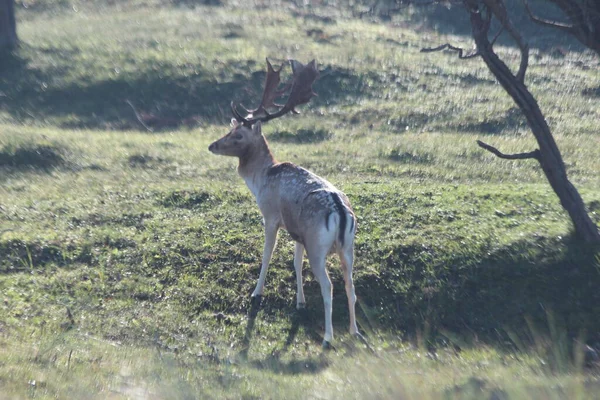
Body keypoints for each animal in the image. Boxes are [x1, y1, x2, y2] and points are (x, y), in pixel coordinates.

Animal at [209, 59, 358, 346]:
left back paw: (328, 337)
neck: (261, 178)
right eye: (230, 129)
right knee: (350, 283)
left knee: (329, 285)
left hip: (318, 246)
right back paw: (355, 331)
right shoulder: (297, 232)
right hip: (347, 247)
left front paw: (256, 292)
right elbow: (296, 263)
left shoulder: (271, 216)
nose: (212, 145)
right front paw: (299, 302)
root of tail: (340, 212)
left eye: (238, 135)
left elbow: (267, 255)